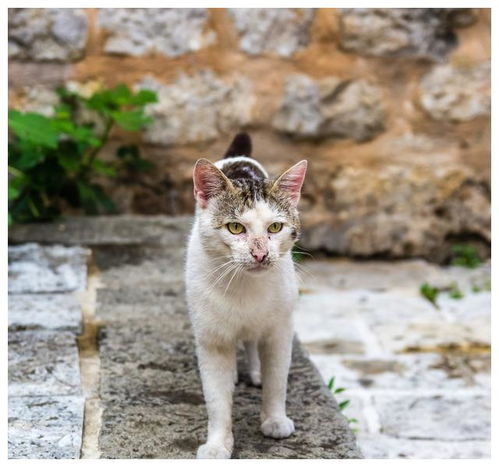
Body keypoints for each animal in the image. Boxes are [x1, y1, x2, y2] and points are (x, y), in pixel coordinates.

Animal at [186, 133, 306, 460]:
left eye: (275, 227)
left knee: (253, 342)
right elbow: (216, 400)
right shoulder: (211, 339)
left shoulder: (280, 331)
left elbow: (277, 381)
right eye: (235, 227)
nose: (260, 253)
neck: (244, 286)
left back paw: (255, 371)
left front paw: (275, 420)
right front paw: (218, 444)